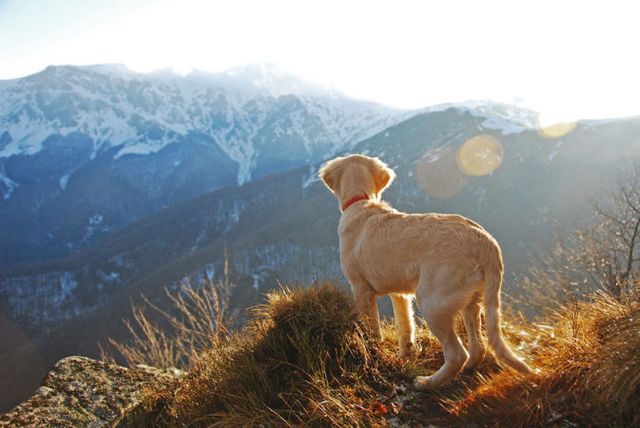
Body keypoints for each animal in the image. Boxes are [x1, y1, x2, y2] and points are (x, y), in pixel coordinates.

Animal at [318, 155, 532, 392]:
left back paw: (427, 383)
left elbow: (372, 329)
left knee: (457, 353)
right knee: (478, 345)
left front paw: (374, 353)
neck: (361, 202)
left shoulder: (360, 288)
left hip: (433, 302)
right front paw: (403, 356)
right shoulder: (399, 294)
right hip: (472, 298)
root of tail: (485, 241)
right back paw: (467, 368)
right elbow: (405, 326)